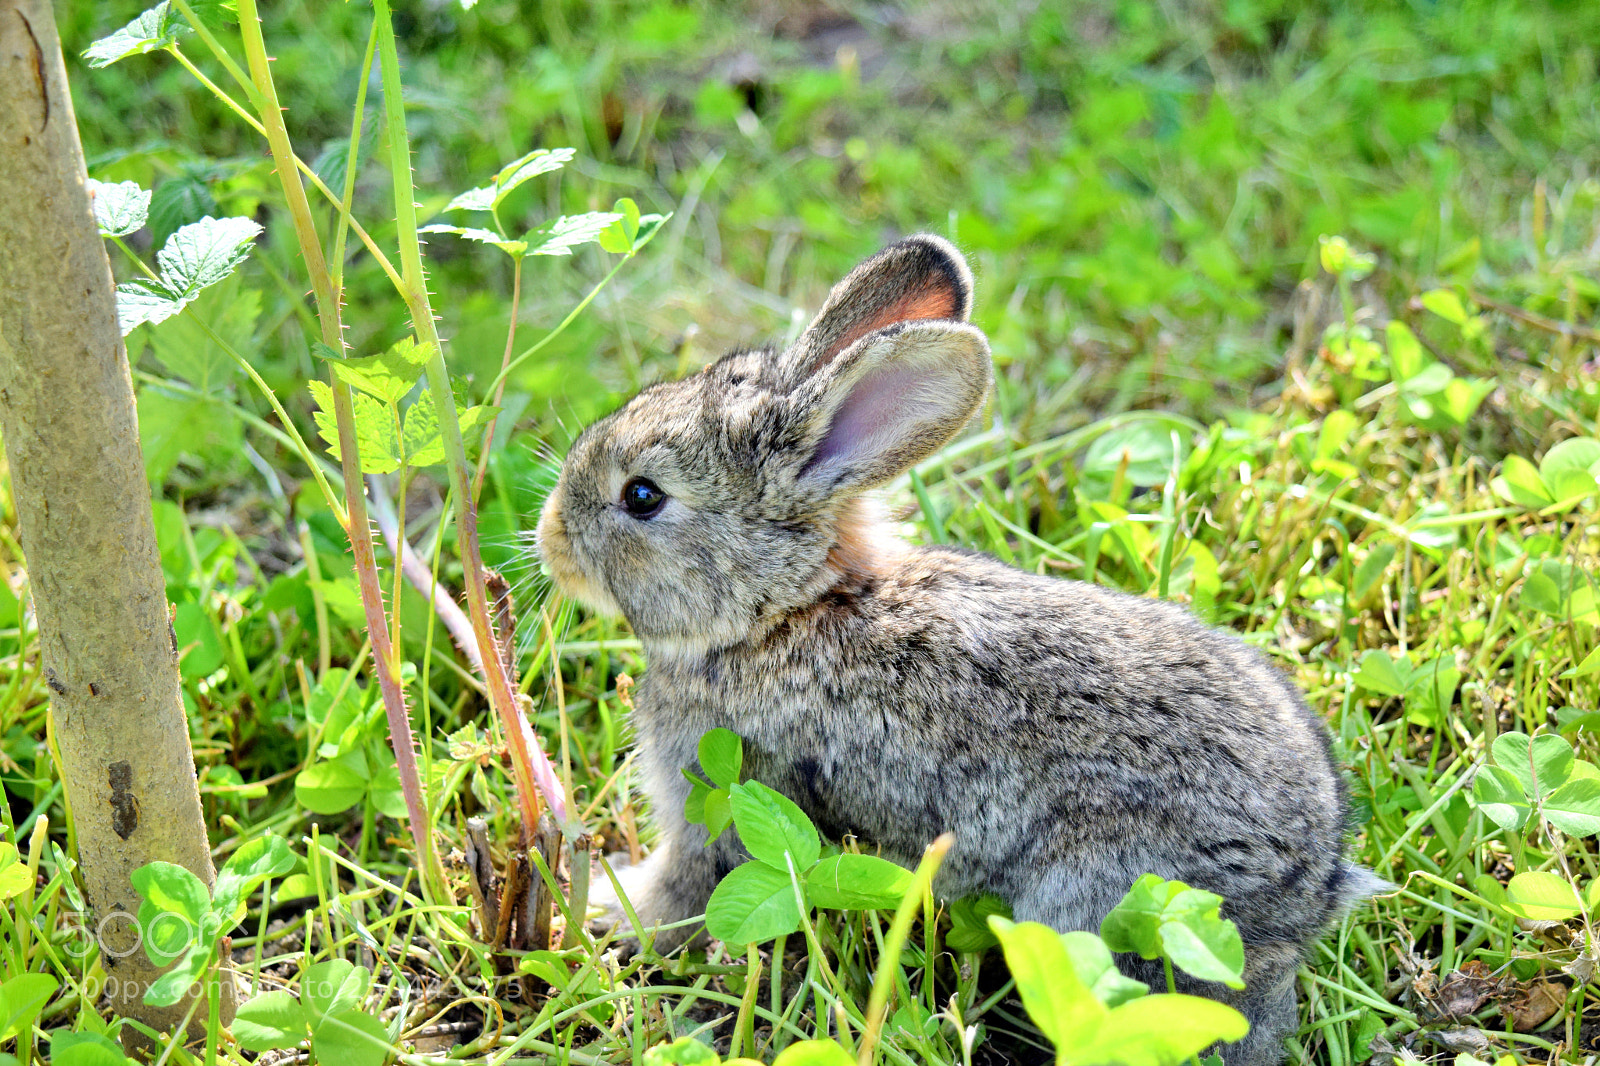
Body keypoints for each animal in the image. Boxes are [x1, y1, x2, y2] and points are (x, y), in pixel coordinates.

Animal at [535, 235, 1383, 1066]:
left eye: (642, 496)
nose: (550, 539)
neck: (782, 610)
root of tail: (1310, 885)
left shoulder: (721, 800)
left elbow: (684, 895)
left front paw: (609, 914)